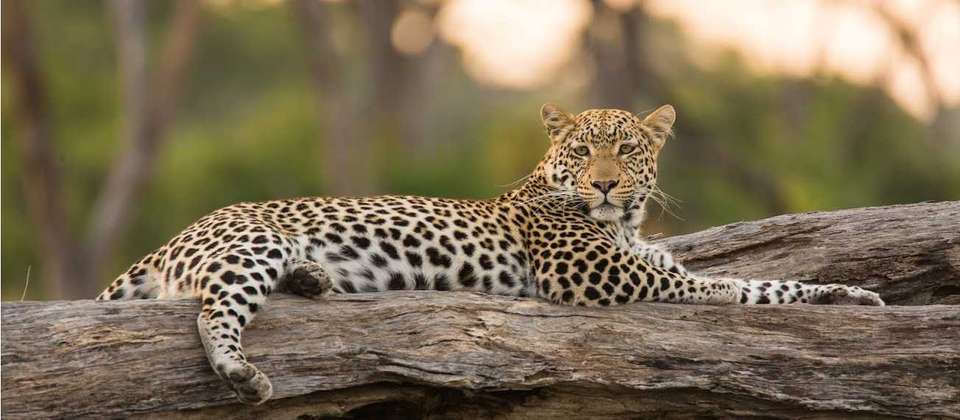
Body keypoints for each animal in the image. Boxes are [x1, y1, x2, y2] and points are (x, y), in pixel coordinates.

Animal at [97, 103, 884, 405]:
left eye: (628, 150)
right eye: (583, 150)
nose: (605, 183)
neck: (625, 225)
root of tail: (174, 236)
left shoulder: (640, 260)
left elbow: (763, 284)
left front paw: (853, 297)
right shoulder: (595, 275)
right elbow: (710, 287)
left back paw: (316, 279)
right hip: (249, 244)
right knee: (210, 310)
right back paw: (241, 372)